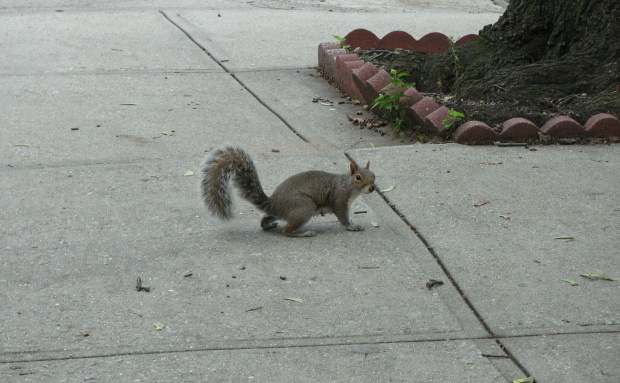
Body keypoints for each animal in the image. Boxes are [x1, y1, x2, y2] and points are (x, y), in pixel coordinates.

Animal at [201, 147, 376, 237]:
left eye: (374, 175)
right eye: (358, 177)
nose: (372, 188)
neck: (347, 185)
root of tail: (274, 203)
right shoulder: (339, 199)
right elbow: (342, 217)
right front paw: (352, 226)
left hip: (286, 211)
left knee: (266, 218)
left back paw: (268, 224)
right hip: (304, 206)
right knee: (287, 230)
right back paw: (304, 233)